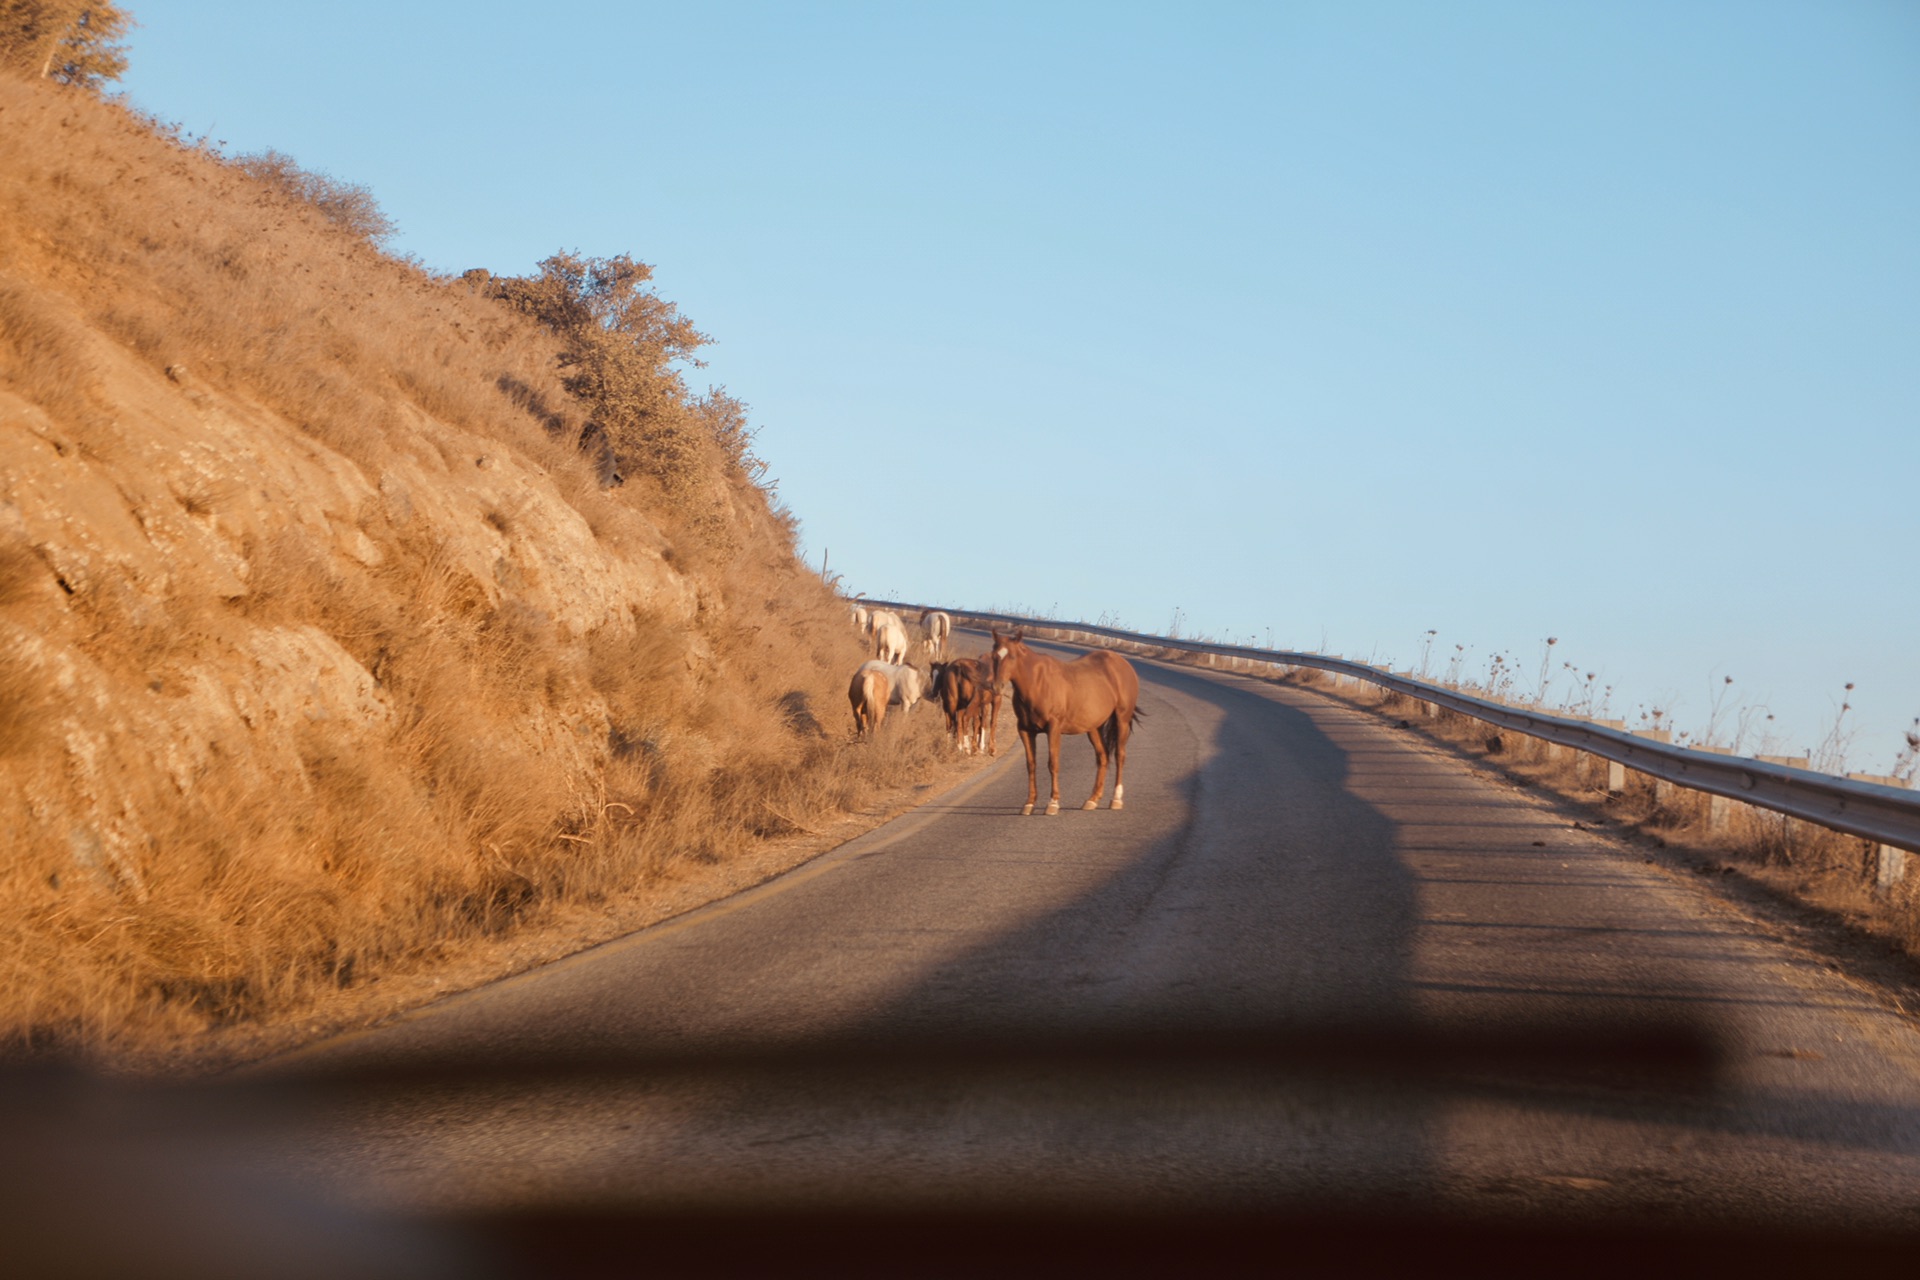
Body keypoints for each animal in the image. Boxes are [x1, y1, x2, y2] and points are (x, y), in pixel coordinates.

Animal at [990, 633, 1136, 821]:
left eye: (1013, 657)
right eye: (994, 656)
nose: (997, 687)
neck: (1036, 682)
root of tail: (1122, 663)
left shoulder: (1053, 728)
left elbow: (1053, 763)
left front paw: (1053, 803)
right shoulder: (1025, 730)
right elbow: (1031, 765)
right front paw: (1029, 803)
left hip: (1121, 720)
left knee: (1119, 755)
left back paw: (1116, 799)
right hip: (1093, 728)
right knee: (1102, 757)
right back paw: (1092, 799)